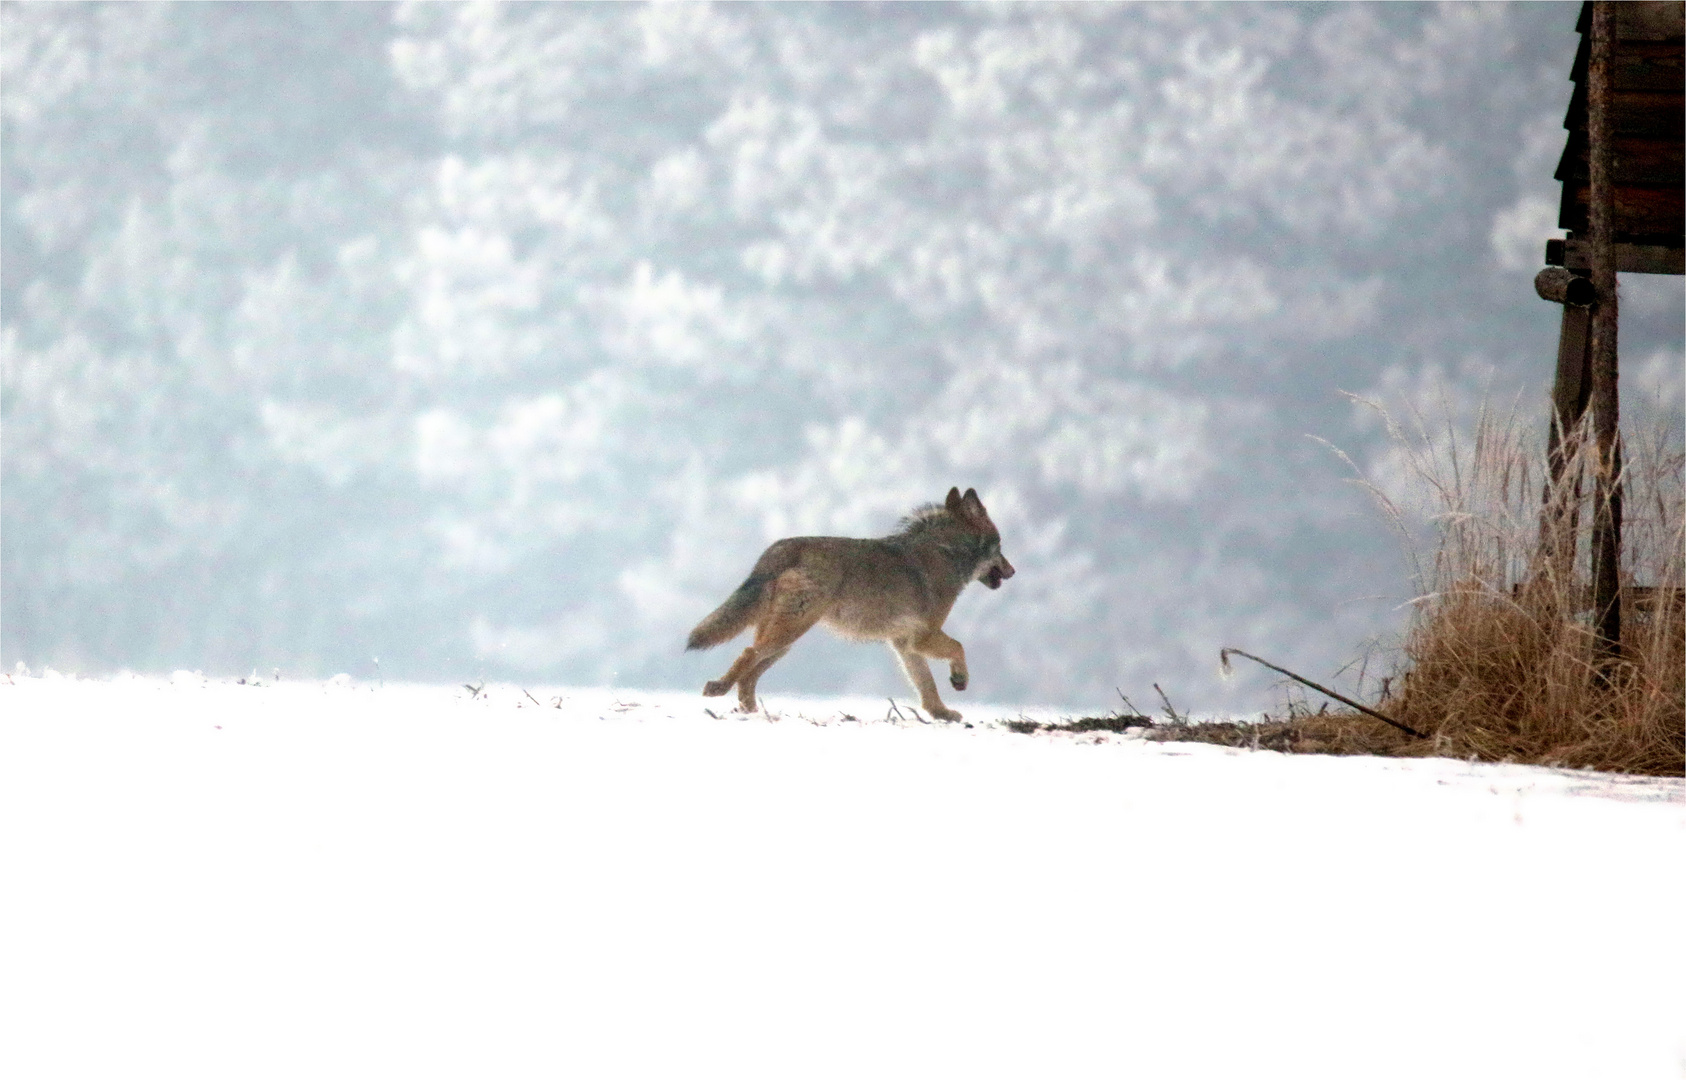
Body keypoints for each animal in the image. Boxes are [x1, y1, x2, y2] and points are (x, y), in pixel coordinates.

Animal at [684, 485, 1011, 721]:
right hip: (787, 634)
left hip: (785, 641)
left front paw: (941, 714)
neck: (947, 553)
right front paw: (959, 680)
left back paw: (750, 710)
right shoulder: (923, 636)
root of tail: (781, 547)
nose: (1013, 571)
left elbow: (926, 687)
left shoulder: (906, 644)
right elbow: (959, 647)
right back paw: (718, 689)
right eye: (1001, 546)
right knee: (747, 654)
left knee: (749, 674)